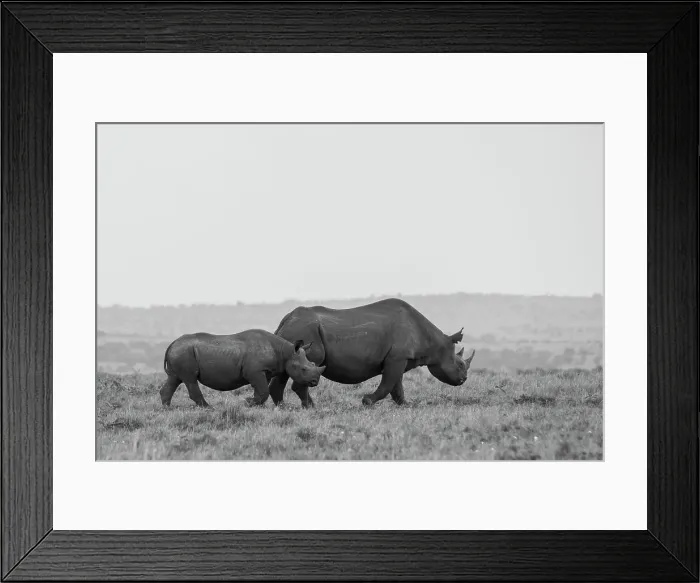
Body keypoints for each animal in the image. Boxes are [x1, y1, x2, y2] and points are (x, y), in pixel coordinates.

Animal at [159, 329, 325, 407]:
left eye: (312, 364)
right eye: (303, 369)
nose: (314, 382)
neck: (286, 352)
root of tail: (172, 343)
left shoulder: (262, 372)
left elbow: (261, 391)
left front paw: (253, 404)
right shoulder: (255, 371)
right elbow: (263, 391)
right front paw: (247, 402)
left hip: (180, 352)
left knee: (175, 378)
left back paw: (167, 408)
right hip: (184, 352)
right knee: (190, 379)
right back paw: (209, 408)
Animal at [267, 298, 475, 407]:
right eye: (460, 364)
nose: (464, 379)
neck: (434, 341)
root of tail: (286, 319)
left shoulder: (399, 358)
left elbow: (396, 385)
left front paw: (405, 405)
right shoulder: (397, 357)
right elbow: (388, 384)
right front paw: (367, 401)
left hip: (295, 335)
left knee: (287, 369)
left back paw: (283, 407)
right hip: (305, 332)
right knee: (309, 367)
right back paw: (311, 408)